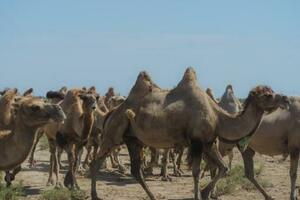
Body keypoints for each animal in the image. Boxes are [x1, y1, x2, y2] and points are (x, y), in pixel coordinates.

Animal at [89, 67, 290, 200]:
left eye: (272, 91)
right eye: (267, 95)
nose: (286, 99)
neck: (218, 117)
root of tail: (111, 112)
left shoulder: (208, 142)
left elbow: (223, 167)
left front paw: (206, 192)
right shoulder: (197, 142)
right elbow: (196, 171)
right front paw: (200, 194)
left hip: (132, 139)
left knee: (135, 170)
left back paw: (153, 196)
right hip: (113, 134)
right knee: (96, 161)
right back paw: (95, 195)